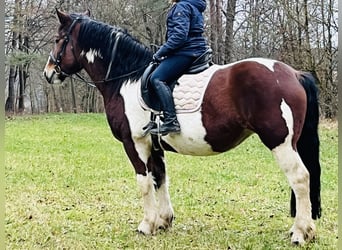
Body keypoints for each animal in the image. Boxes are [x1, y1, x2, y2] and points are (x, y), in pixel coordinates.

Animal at [42, 10, 320, 246]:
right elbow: (160, 179)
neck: (127, 79)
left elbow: (144, 183)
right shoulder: (155, 146)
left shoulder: (135, 143)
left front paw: (146, 225)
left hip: (280, 143)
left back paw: (300, 233)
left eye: (58, 39)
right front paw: (163, 222)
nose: (48, 73)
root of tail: (294, 74)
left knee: (300, 178)